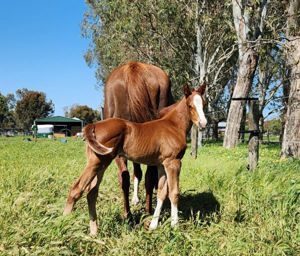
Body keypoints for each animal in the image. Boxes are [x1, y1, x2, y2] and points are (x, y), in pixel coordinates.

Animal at [63, 83, 206, 235]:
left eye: (204, 104)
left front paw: (153, 225)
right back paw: (64, 224)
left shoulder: (162, 165)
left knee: (91, 193)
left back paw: (94, 232)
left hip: (100, 164)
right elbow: (174, 192)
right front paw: (175, 226)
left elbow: (161, 193)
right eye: (190, 105)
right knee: (76, 189)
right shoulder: (173, 162)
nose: (203, 124)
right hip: (96, 162)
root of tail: (93, 125)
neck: (173, 125)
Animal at [103, 61, 172, 216]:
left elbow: (136, 173)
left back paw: (130, 214)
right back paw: (145, 212)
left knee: (127, 175)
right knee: (145, 175)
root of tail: (134, 66)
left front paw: (134, 199)